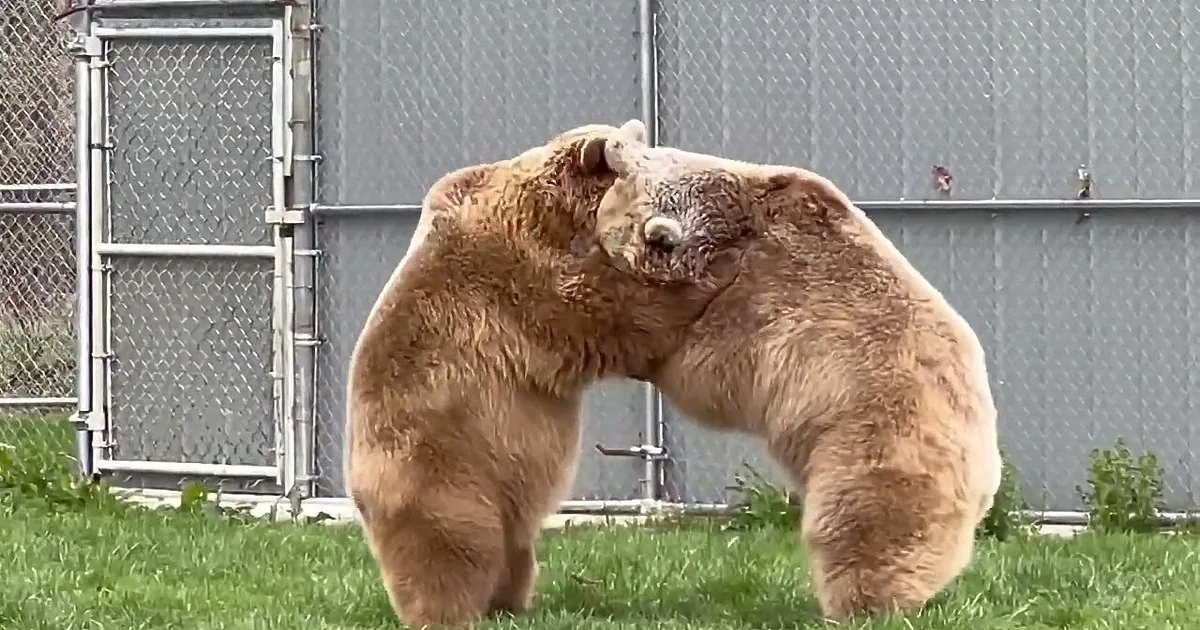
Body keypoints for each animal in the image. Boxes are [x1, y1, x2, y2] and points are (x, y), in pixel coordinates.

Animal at [343, 120, 742, 628]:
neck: (560, 213)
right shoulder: (522, 273)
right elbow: (603, 309)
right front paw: (710, 274)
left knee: (515, 551)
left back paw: (511, 603)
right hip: (440, 471)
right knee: (449, 552)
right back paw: (452, 612)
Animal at [575, 131, 1003, 622]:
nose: (608, 148)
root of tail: (988, 470)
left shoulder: (756, 304)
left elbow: (701, 365)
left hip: (877, 444)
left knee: (859, 526)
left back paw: (862, 605)